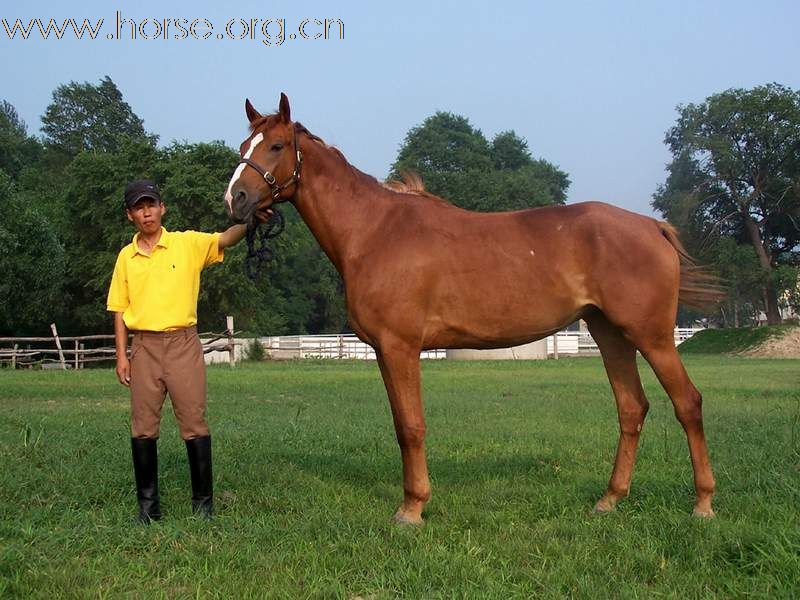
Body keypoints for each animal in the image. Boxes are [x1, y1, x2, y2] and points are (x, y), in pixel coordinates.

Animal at [223, 92, 720, 520]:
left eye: (277, 146)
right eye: (244, 146)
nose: (235, 200)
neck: (375, 230)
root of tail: (652, 227)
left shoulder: (401, 347)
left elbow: (412, 426)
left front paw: (412, 509)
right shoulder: (384, 351)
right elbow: (400, 425)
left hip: (652, 336)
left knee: (688, 403)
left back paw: (703, 503)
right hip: (609, 333)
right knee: (632, 408)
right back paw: (610, 499)